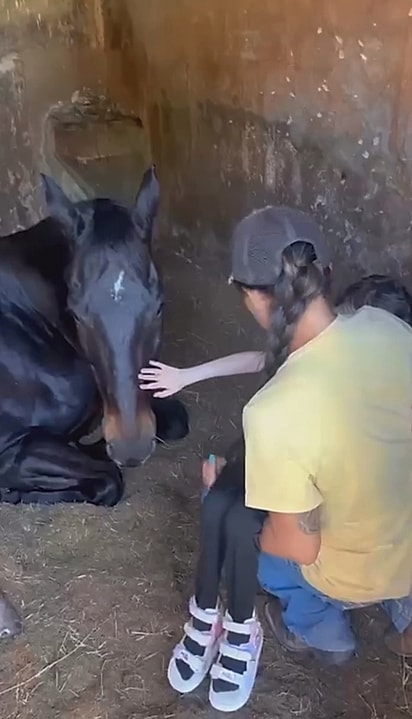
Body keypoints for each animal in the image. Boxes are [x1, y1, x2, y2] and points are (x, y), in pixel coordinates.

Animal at [0, 165, 189, 508]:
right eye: (76, 314)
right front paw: (18, 491)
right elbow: (109, 479)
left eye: (159, 307)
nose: (131, 448)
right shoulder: (11, 446)